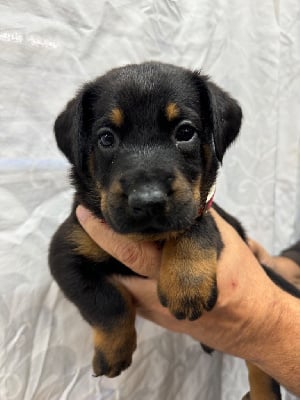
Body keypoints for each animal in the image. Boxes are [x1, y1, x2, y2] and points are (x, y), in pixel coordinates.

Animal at [49, 61, 298, 398]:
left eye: (185, 132)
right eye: (106, 138)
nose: (148, 200)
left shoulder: (210, 211)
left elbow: (196, 224)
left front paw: (186, 283)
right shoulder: (66, 252)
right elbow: (106, 302)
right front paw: (113, 352)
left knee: (261, 368)